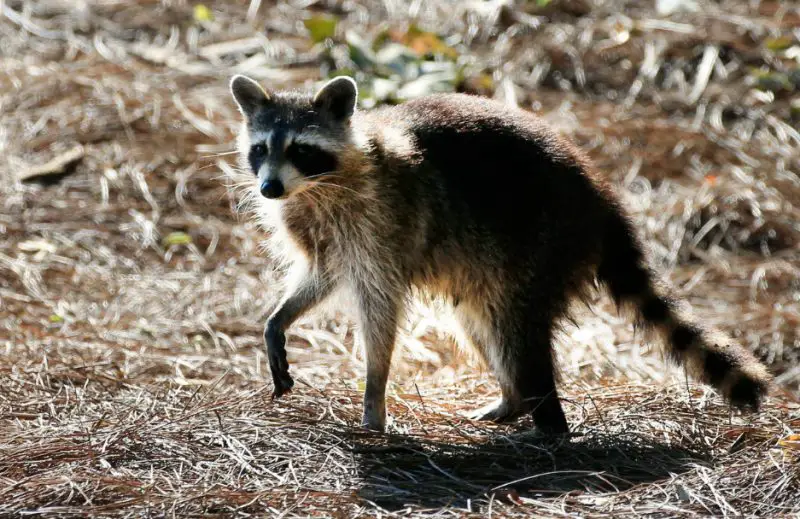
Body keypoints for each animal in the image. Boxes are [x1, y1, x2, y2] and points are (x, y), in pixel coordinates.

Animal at [228, 74, 771, 433]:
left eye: (301, 149)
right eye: (260, 149)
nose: (269, 188)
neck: (315, 188)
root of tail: (601, 199)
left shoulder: (381, 225)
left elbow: (380, 311)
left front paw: (374, 392)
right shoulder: (320, 230)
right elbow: (320, 275)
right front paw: (279, 318)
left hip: (543, 243)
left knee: (516, 332)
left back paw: (548, 421)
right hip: (487, 265)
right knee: (479, 322)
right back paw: (513, 401)